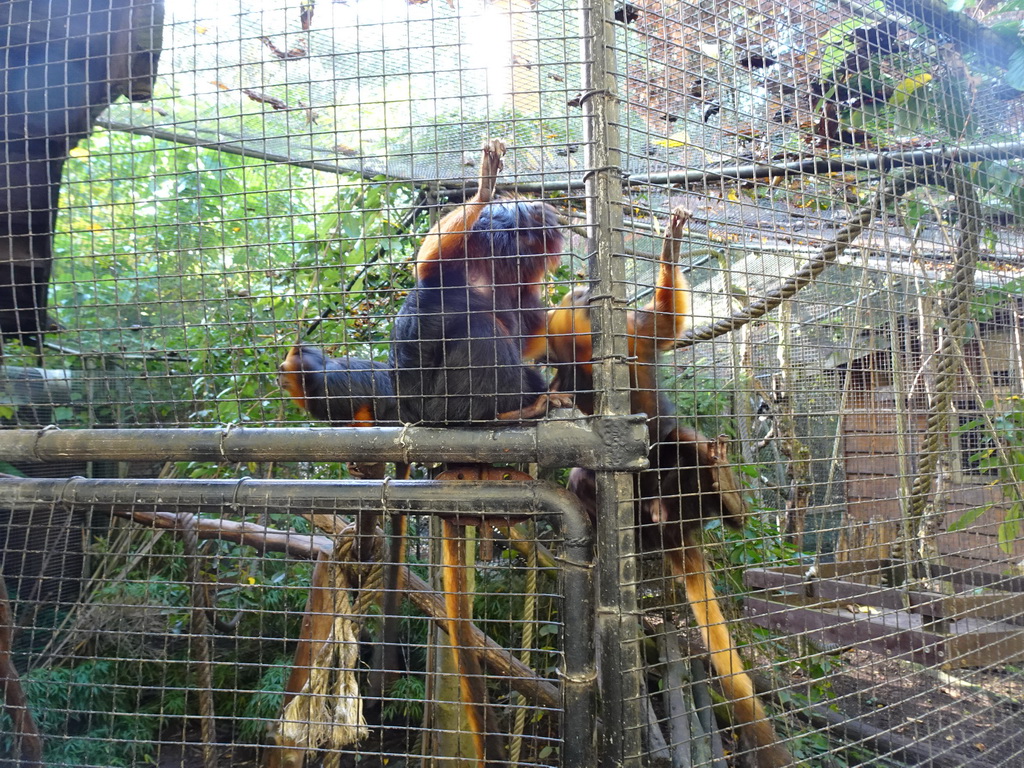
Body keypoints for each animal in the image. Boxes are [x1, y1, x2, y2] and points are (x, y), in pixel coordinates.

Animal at [389, 138, 573, 428]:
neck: (492, 269)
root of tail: (408, 415)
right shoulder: (459, 260)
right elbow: (428, 259)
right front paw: (485, 187)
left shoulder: (520, 286)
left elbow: (533, 335)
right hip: (436, 408)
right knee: (480, 329)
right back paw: (507, 413)